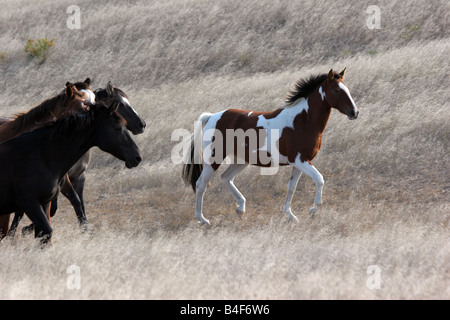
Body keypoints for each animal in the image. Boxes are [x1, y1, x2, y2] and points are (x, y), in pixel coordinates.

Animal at [5, 81, 146, 238]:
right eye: (121, 104)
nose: (142, 125)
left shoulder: (78, 177)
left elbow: (77, 203)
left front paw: (85, 228)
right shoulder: (62, 179)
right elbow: (56, 207)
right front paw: (25, 229)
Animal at [181, 69, 360, 225]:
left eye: (348, 89)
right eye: (336, 90)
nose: (354, 112)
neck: (302, 121)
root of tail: (212, 116)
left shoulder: (299, 163)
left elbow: (291, 188)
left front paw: (290, 215)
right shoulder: (301, 160)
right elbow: (319, 179)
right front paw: (313, 209)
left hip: (241, 160)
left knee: (226, 177)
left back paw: (240, 208)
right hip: (214, 159)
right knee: (201, 184)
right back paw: (202, 219)